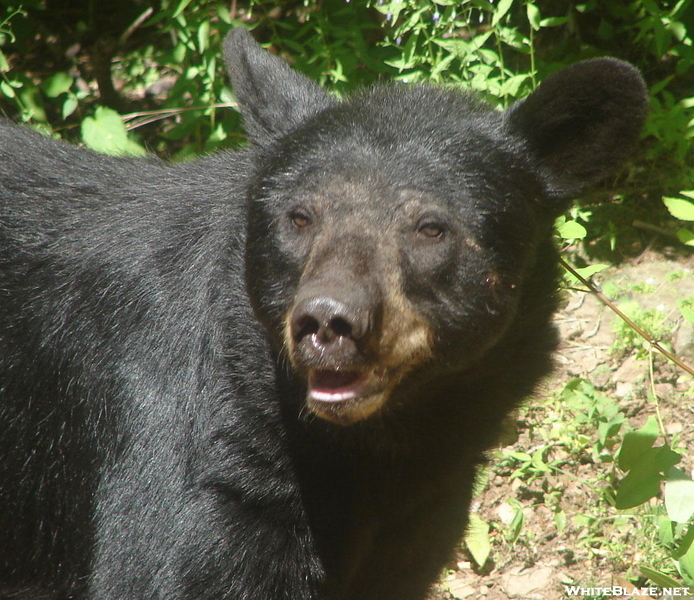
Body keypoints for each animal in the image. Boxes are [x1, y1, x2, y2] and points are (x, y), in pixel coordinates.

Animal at [0, 28, 648, 600]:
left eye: (430, 227)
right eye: (299, 216)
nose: (328, 321)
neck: (367, 448)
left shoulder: (417, 518)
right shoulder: (202, 469)